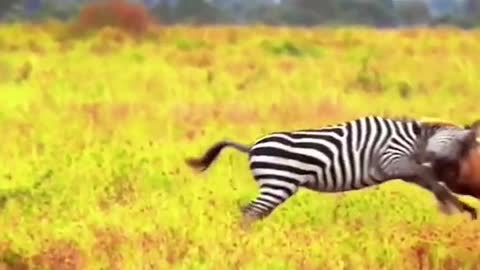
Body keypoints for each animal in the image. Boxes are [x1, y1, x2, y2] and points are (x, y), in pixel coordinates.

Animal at [186, 115, 478, 224]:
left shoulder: (403, 170)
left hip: (275, 185)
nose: (461, 177)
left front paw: (461, 209)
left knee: (255, 212)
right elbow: (431, 179)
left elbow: (432, 184)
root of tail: (250, 147)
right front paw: (460, 208)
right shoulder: (392, 159)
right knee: (251, 212)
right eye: (465, 148)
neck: (416, 139)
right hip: (278, 183)